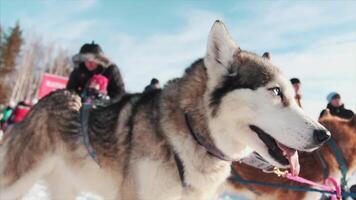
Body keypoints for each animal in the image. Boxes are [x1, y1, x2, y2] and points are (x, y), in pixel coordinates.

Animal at [0, 20, 330, 200]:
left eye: (294, 96)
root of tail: (51, 97)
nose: (323, 134)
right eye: (275, 92)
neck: (190, 135)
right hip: (16, 181)